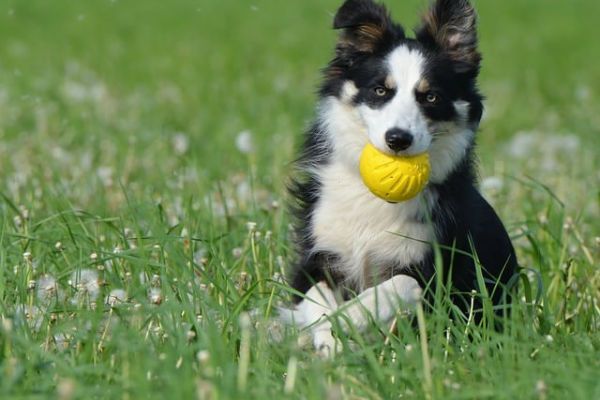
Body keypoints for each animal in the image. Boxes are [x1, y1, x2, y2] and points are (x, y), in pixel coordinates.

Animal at [284, 0, 516, 356]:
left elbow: (400, 285)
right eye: (380, 90)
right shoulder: (317, 255)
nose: (398, 139)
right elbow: (316, 297)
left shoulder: (436, 273)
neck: (372, 196)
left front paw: (347, 319)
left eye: (431, 96)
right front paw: (326, 339)